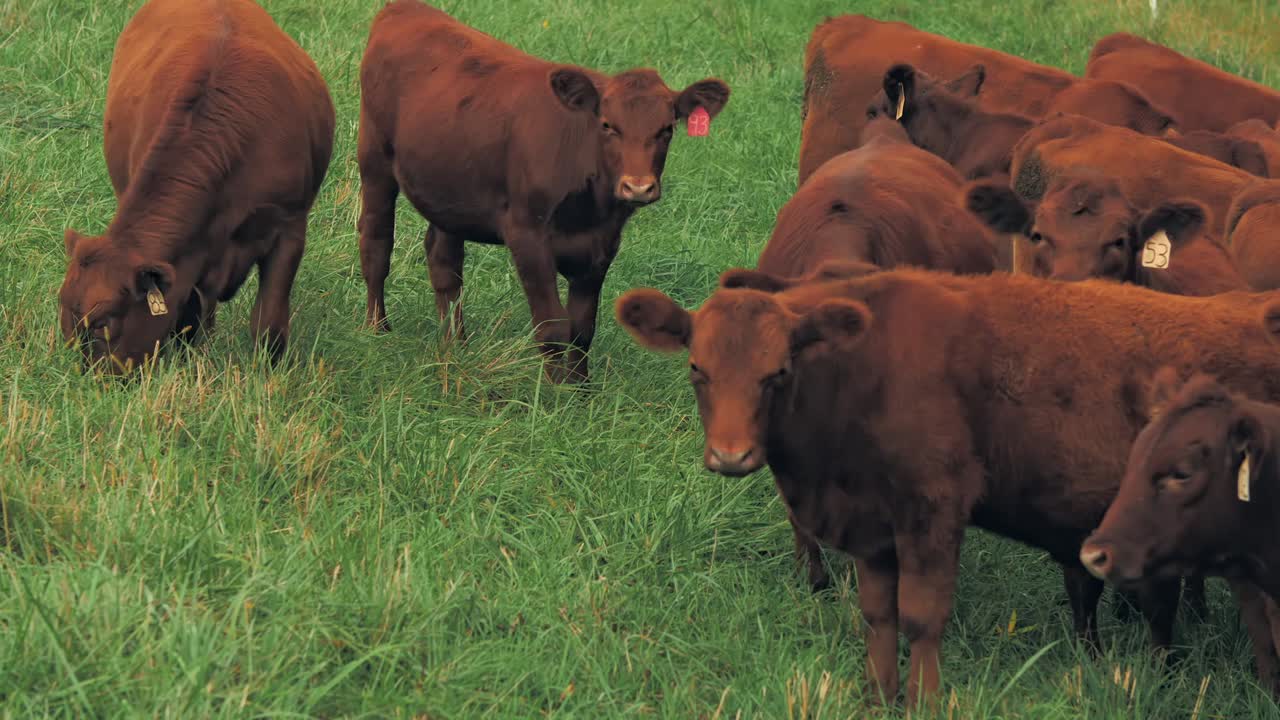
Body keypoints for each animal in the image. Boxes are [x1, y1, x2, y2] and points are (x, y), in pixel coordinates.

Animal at [58, 0, 335, 373]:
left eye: (103, 323)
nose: (89, 379)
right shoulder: (187, 257)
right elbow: (187, 316)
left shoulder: (289, 226)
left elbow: (269, 320)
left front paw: (268, 374)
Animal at [358, 0, 729, 382]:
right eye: (607, 125)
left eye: (667, 129)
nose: (637, 186)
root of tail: (405, 9)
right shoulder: (526, 234)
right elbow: (552, 325)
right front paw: (553, 391)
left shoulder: (601, 245)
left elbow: (582, 328)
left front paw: (579, 389)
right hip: (374, 158)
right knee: (376, 242)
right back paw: (377, 330)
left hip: (448, 190)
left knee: (444, 263)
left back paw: (455, 345)